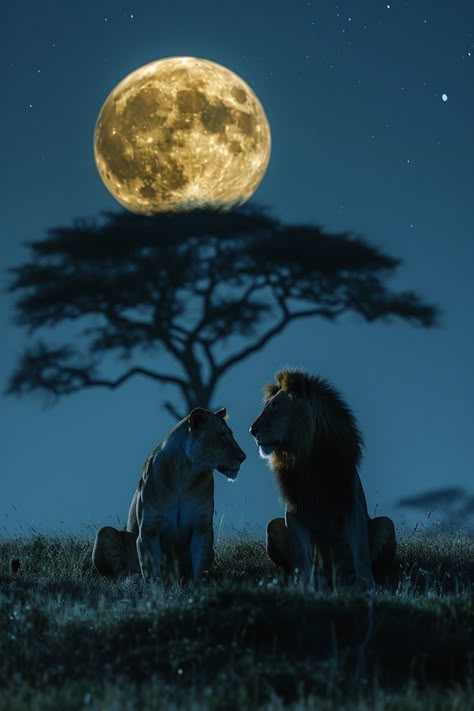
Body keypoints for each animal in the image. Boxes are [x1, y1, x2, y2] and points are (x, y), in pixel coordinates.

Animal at [94, 408, 246, 580]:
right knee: (119, 571)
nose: (243, 457)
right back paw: (131, 579)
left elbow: (200, 568)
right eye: (221, 435)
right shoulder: (149, 530)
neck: (186, 475)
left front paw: (198, 585)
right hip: (104, 534)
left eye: (230, 434)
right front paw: (154, 586)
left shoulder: (202, 529)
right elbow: (152, 573)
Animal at [250, 370, 394, 588]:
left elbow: (361, 550)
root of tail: (334, 577)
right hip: (272, 526)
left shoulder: (351, 505)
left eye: (275, 406)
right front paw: (305, 584)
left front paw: (367, 583)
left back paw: (350, 578)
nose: (252, 430)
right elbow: (300, 555)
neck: (307, 460)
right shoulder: (295, 511)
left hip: (386, 524)